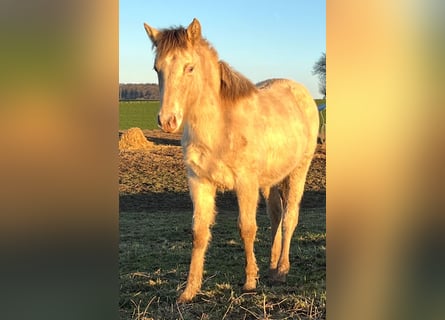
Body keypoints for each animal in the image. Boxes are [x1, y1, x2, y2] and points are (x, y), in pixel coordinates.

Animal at [143, 17, 320, 302]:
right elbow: (199, 232)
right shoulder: (199, 182)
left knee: (290, 216)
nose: (167, 121)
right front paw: (189, 291)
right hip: (270, 179)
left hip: (298, 171)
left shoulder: (245, 183)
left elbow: (246, 228)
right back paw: (271, 267)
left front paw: (249, 282)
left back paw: (282, 270)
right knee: (276, 214)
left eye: (189, 67)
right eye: (157, 68)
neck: (220, 127)